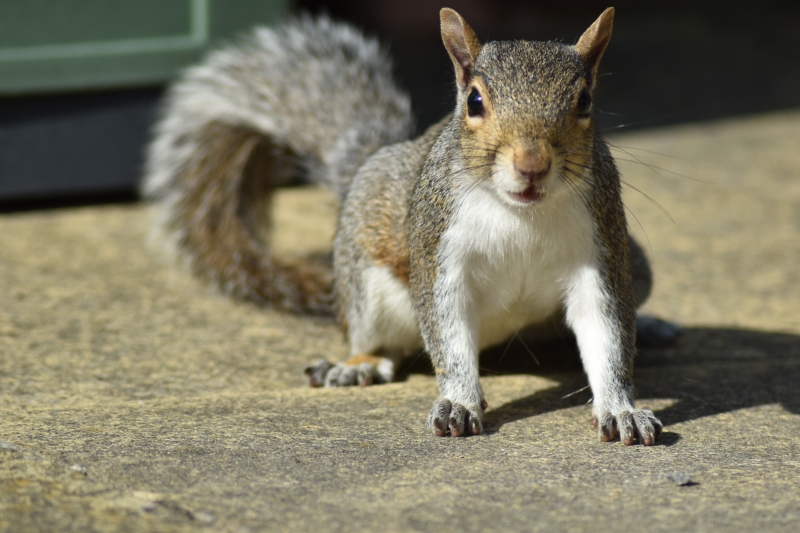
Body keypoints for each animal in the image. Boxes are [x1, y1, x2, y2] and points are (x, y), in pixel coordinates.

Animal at [144, 7, 676, 444]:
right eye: (474, 102)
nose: (532, 165)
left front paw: (621, 409)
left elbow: (607, 333)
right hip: (365, 280)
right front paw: (458, 401)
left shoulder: (599, 252)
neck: (520, 212)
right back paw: (356, 365)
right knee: (374, 337)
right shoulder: (438, 250)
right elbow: (447, 331)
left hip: (638, 267)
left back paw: (650, 326)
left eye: (584, 101)